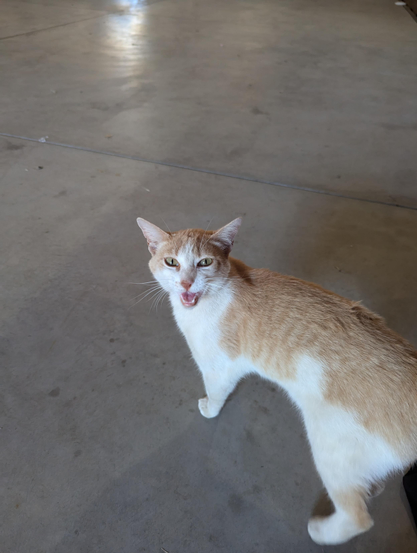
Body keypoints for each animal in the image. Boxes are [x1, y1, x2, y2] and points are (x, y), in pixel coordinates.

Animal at [136, 215, 416, 544]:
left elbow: (216, 392)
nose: (186, 283)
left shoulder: (220, 366)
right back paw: (373, 487)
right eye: (171, 262)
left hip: (331, 448)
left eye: (204, 262)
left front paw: (210, 408)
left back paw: (321, 532)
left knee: (358, 517)